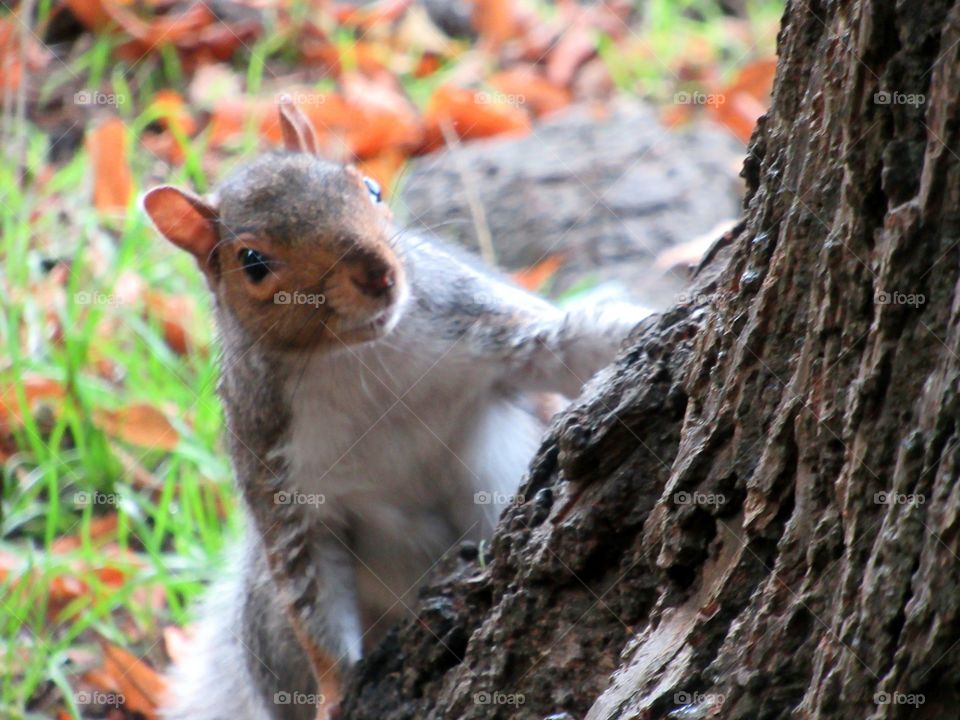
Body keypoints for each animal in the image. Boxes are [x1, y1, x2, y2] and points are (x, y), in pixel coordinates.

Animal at [142, 101, 648, 720]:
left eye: (371, 188)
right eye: (253, 263)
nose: (377, 274)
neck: (358, 360)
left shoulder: (487, 328)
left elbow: (571, 343)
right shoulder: (285, 486)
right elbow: (313, 601)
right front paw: (336, 694)